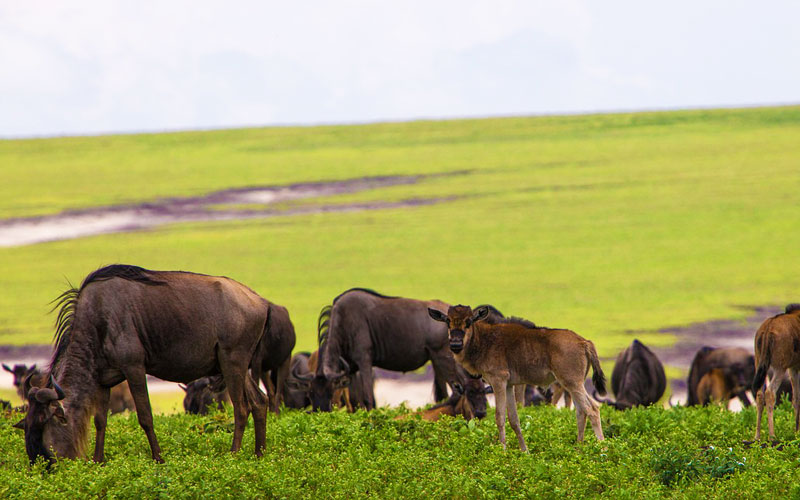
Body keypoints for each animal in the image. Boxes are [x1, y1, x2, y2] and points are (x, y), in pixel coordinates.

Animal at [428, 302, 604, 452]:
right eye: (448, 321)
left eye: (469, 321)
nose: (455, 344)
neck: (484, 340)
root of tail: (584, 342)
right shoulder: (509, 385)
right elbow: (514, 419)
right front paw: (524, 451)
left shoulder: (498, 382)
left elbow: (499, 417)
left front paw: (503, 450)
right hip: (573, 384)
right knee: (581, 411)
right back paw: (579, 449)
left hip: (573, 383)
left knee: (592, 409)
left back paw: (602, 449)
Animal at [752, 302, 800, 440]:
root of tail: (767, 329)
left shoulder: (793, 367)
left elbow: (796, 398)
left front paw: (796, 432)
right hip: (779, 367)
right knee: (770, 392)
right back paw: (772, 436)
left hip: (759, 362)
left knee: (759, 394)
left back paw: (757, 436)